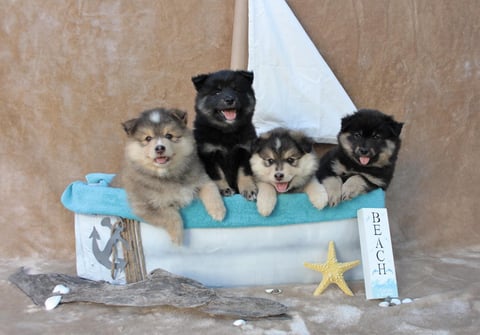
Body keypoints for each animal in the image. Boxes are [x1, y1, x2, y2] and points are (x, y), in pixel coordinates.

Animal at [111, 107, 226, 244]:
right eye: (148, 138)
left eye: (169, 136)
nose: (160, 148)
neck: (167, 174)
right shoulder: (145, 205)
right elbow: (170, 214)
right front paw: (178, 237)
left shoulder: (202, 179)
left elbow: (211, 190)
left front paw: (218, 211)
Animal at [191, 69, 258, 201]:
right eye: (217, 92)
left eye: (236, 90)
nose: (229, 99)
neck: (227, 132)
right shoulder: (209, 155)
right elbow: (217, 174)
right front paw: (224, 189)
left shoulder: (244, 151)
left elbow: (243, 171)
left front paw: (248, 189)